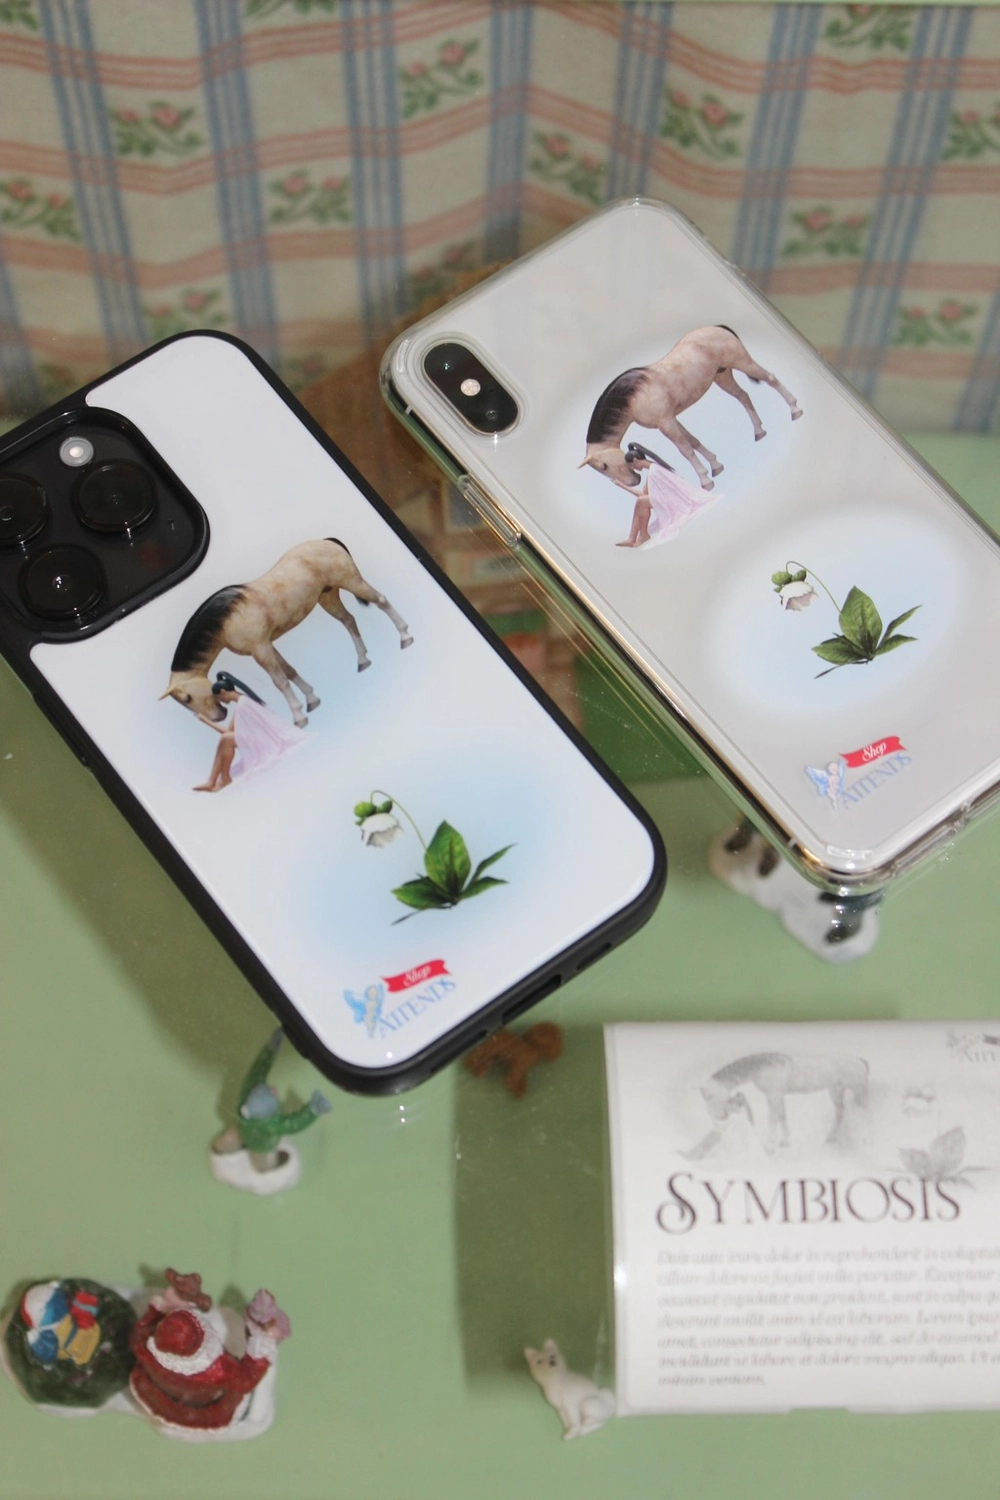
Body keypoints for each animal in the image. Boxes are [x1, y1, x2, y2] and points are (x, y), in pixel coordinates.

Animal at [162, 538, 412, 727]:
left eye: (187, 697)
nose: (219, 717)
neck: (227, 617)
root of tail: (328, 541)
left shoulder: (261, 649)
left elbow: (280, 681)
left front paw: (299, 717)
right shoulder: (265, 647)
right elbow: (289, 671)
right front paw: (311, 700)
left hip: (352, 582)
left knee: (381, 601)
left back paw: (405, 637)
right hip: (328, 597)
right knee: (349, 621)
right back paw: (362, 661)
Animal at [580, 325, 802, 491]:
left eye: (604, 465)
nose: (634, 482)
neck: (633, 395)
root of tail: (717, 327)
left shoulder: (666, 423)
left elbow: (685, 449)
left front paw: (706, 481)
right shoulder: (670, 419)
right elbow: (693, 441)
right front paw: (716, 466)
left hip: (742, 362)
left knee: (771, 379)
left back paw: (795, 410)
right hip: (723, 376)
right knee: (744, 397)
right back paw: (759, 431)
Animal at [684, 1050, 869, 1158]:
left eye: (709, 1096)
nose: (718, 1118)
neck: (764, 1066)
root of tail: (860, 1060)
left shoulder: (773, 1095)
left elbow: (773, 1119)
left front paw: (770, 1147)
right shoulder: (777, 1096)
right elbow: (782, 1116)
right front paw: (784, 1142)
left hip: (858, 1091)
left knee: (866, 1112)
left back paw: (865, 1141)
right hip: (835, 1092)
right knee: (840, 1113)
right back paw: (831, 1138)